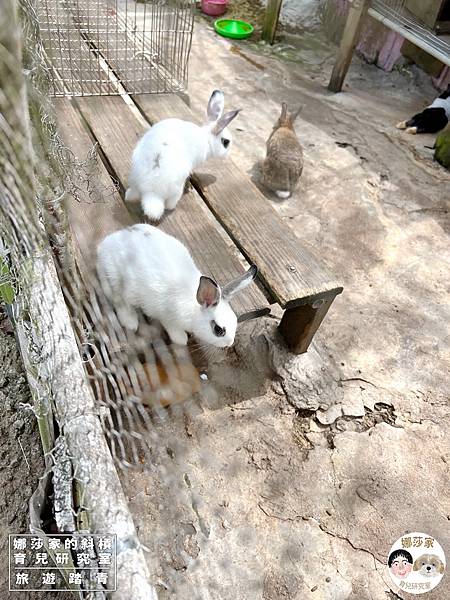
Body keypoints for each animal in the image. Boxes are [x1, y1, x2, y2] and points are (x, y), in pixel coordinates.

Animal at [96, 224, 258, 346]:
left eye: (235, 321)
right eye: (218, 330)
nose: (229, 343)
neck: (194, 308)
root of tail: (106, 244)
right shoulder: (167, 318)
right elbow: (173, 330)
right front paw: (181, 339)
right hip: (115, 281)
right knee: (119, 300)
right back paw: (130, 322)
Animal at [125, 89, 241, 220]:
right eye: (226, 142)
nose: (228, 154)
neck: (206, 138)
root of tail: (151, 193)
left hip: (134, 180)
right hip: (176, 190)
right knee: (169, 204)